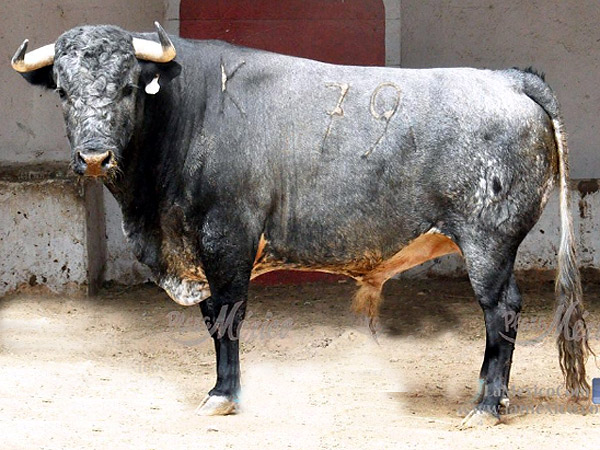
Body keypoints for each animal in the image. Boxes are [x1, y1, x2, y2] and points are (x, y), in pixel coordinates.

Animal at [12, 22, 592, 427]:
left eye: (130, 86)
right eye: (62, 90)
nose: (94, 156)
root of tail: (509, 77)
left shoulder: (227, 237)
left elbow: (226, 317)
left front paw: (223, 395)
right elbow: (211, 316)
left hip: (489, 244)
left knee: (502, 313)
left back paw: (487, 406)